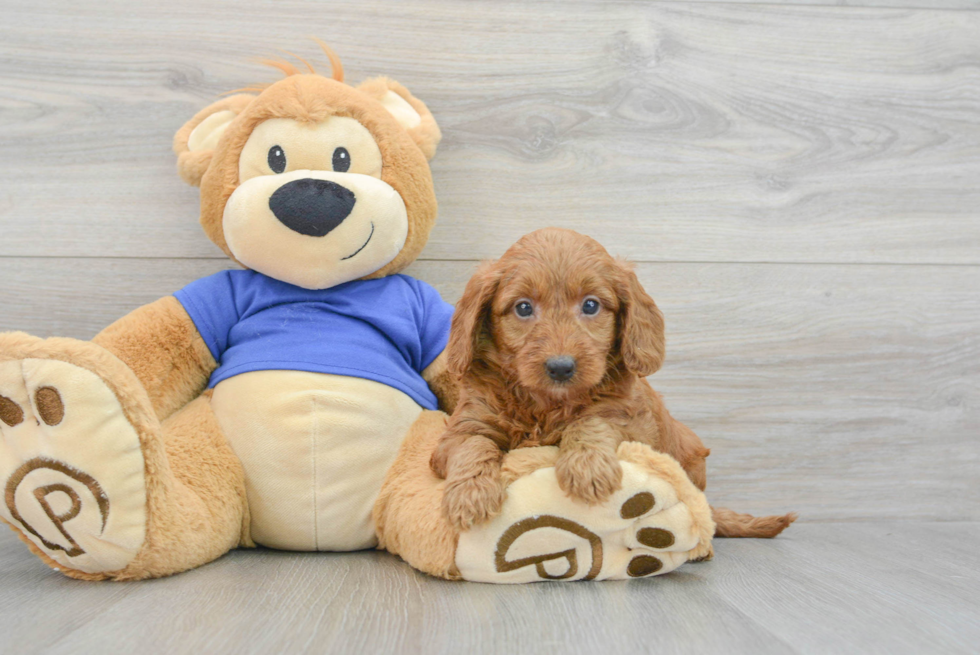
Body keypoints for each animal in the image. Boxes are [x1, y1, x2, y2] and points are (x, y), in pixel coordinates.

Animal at [430, 226, 796, 540]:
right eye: (523, 308)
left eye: (591, 305)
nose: (561, 367)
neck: (547, 404)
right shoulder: (460, 429)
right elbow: (473, 444)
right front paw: (470, 494)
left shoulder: (634, 425)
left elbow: (592, 419)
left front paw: (587, 467)